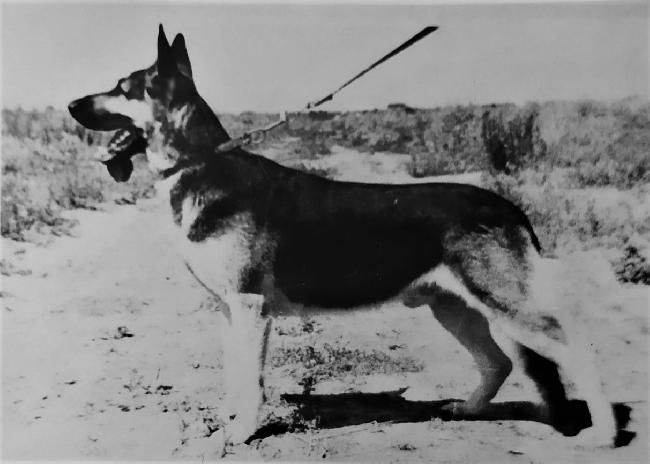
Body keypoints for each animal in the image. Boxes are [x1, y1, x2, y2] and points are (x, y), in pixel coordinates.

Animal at [68, 25, 617, 448]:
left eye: (122, 87)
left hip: (506, 306)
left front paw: (243, 432)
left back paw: (606, 434)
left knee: (578, 352)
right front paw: (231, 419)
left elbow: (252, 380)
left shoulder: (250, 309)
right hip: (454, 309)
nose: (70, 104)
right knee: (499, 363)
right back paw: (468, 409)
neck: (201, 162)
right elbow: (235, 375)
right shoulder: (229, 310)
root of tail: (508, 205)